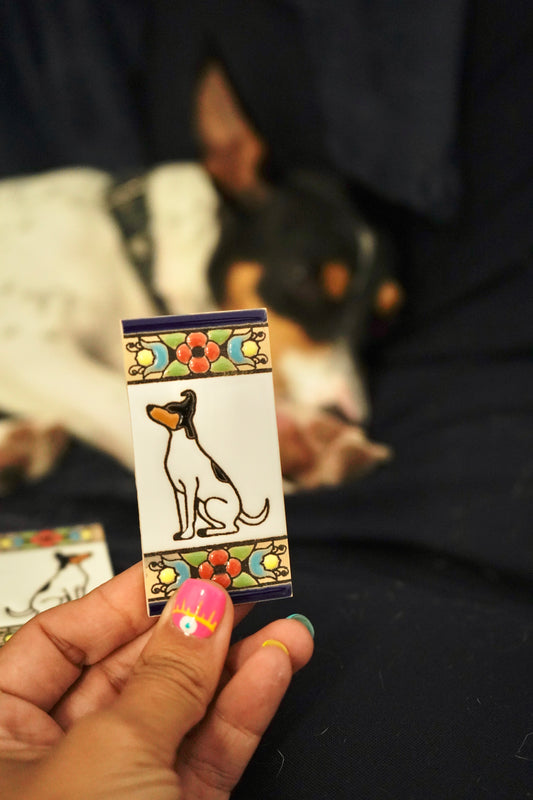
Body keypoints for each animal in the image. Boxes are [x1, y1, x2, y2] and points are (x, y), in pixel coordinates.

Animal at [147, 390, 270, 539]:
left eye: (170, 409)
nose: (148, 407)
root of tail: (240, 510)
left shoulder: (190, 487)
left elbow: (189, 514)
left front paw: (188, 534)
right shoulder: (179, 491)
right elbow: (183, 514)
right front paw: (182, 533)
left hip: (211, 502)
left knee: (232, 527)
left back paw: (209, 531)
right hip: (202, 505)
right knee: (223, 524)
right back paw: (207, 530)